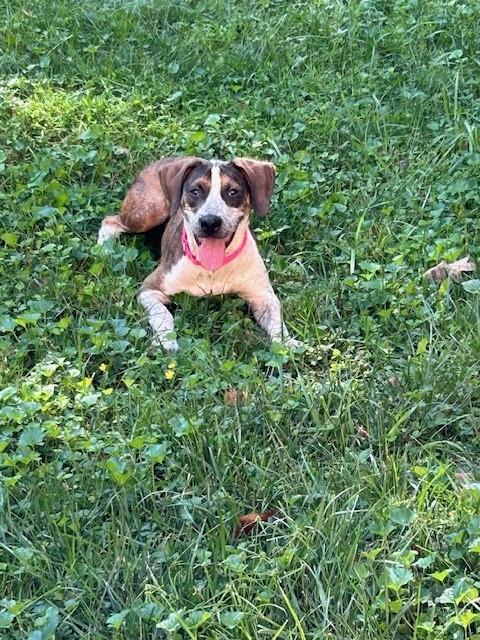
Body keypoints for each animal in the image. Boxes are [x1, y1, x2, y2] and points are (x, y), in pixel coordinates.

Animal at [97, 158, 300, 352]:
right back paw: (104, 248)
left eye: (233, 192)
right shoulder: (150, 288)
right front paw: (166, 341)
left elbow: (277, 321)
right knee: (110, 221)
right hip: (146, 212)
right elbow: (163, 314)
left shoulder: (263, 296)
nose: (210, 222)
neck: (212, 270)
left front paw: (287, 343)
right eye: (195, 191)